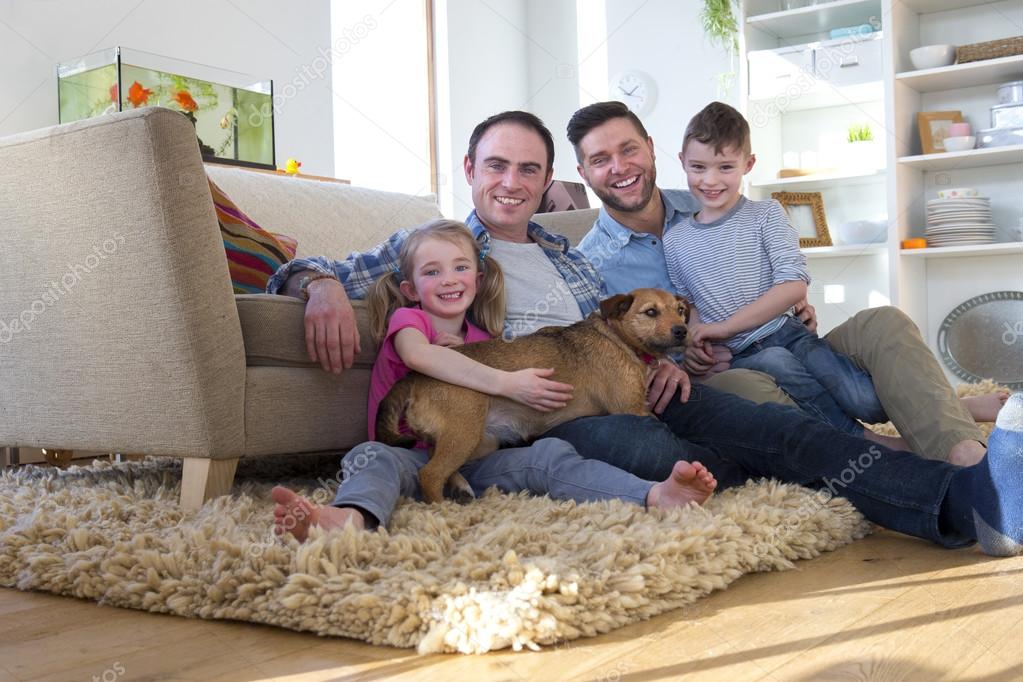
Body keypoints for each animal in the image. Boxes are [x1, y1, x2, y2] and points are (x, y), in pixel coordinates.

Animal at [376, 286, 687, 505]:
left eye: (680, 310)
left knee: (431, 457)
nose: (683, 330)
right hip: (463, 433)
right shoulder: (634, 409)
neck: (619, 339)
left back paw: (461, 487)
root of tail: (415, 377)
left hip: (478, 441)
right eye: (651, 312)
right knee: (429, 474)